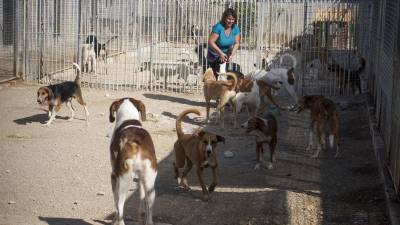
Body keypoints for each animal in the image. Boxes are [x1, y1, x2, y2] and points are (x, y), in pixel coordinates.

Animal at [108, 97, 157, 225]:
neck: (129, 119)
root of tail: (136, 144)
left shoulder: (113, 176)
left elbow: (116, 206)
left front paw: (113, 220)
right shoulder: (140, 178)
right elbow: (141, 201)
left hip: (123, 182)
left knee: (120, 206)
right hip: (150, 185)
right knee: (149, 209)